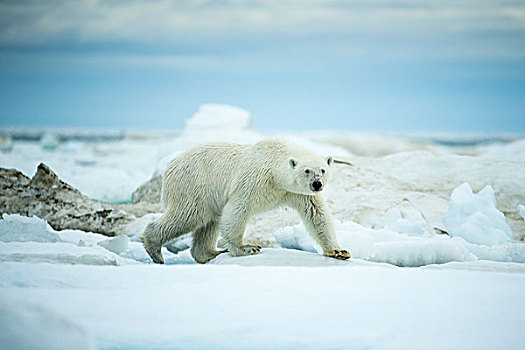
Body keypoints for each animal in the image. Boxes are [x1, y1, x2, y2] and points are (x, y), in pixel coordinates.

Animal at [141, 137, 350, 262]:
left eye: (323, 169)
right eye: (307, 170)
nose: (317, 184)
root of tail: (170, 167)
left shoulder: (297, 193)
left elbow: (317, 215)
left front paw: (339, 251)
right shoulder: (255, 179)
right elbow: (238, 207)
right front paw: (246, 248)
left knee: (209, 222)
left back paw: (210, 253)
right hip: (193, 186)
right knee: (189, 216)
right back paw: (154, 248)